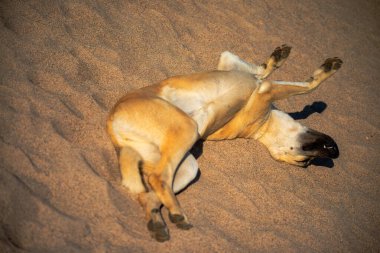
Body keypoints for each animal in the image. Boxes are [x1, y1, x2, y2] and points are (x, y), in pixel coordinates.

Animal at [106, 45, 342, 241]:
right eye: (305, 162)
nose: (335, 152)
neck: (262, 127)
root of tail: (112, 123)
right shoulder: (260, 85)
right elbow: (304, 84)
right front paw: (291, 62)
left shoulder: (257, 85)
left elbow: (268, 74)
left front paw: (276, 61)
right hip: (185, 130)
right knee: (156, 180)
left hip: (186, 164)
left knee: (151, 190)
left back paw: (163, 219)